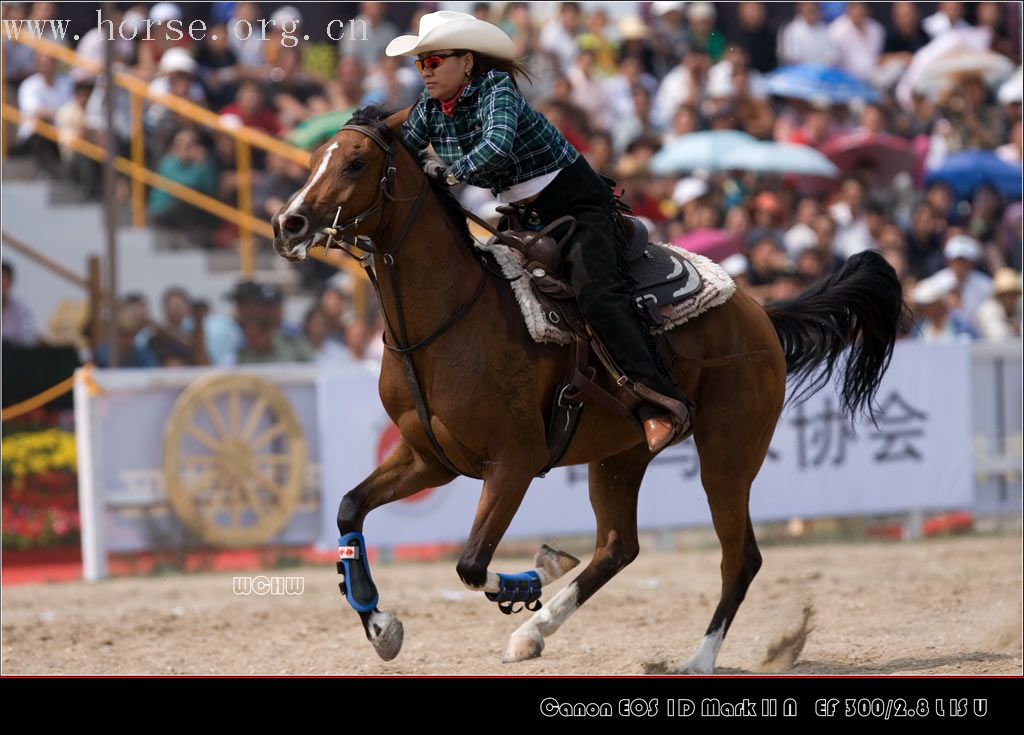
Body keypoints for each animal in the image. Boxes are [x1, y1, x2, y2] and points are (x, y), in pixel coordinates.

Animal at [272, 103, 905, 675]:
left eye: (355, 162)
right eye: (316, 156)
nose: (288, 225)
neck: (445, 322)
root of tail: (759, 313)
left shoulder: (514, 460)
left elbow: (471, 564)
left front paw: (536, 573)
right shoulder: (429, 458)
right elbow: (350, 507)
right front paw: (382, 626)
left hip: (728, 453)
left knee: (739, 558)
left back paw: (696, 660)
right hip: (621, 455)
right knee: (619, 546)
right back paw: (532, 633)